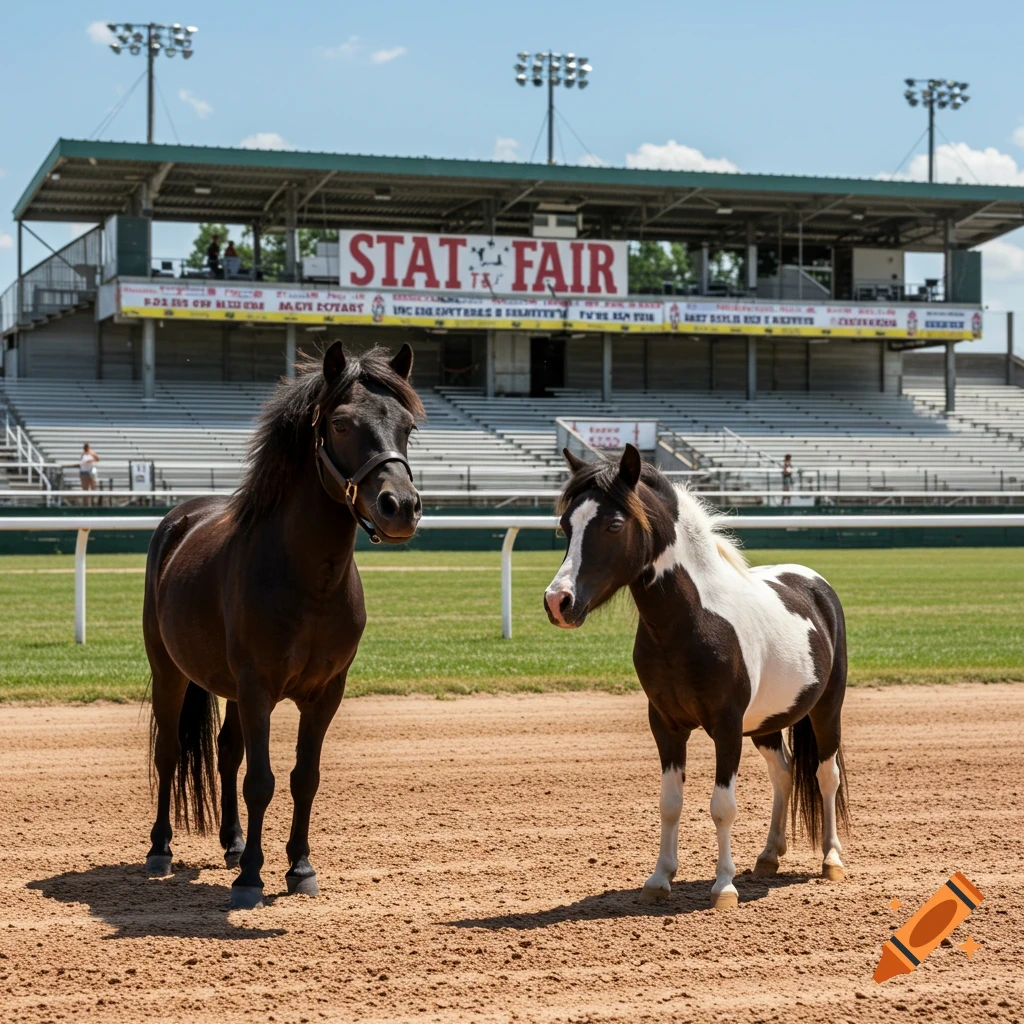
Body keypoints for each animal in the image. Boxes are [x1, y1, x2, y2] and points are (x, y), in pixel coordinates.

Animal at [143, 341, 424, 909]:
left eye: (407, 426)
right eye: (341, 423)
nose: (401, 507)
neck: (308, 580)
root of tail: (179, 520)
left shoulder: (326, 693)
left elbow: (303, 778)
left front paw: (299, 867)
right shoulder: (258, 688)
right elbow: (261, 781)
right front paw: (251, 878)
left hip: (225, 686)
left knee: (226, 753)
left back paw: (232, 843)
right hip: (170, 672)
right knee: (169, 754)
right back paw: (161, 849)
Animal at [543, 444, 850, 910]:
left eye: (614, 524)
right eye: (565, 527)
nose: (558, 601)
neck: (693, 623)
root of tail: (814, 584)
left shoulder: (726, 727)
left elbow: (723, 805)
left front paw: (723, 887)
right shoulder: (666, 725)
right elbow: (670, 802)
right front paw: (659, 879)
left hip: (826, 710)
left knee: (824, 775)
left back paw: (831, 860)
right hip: (766, 724)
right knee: (783, 773)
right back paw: (769, 856)